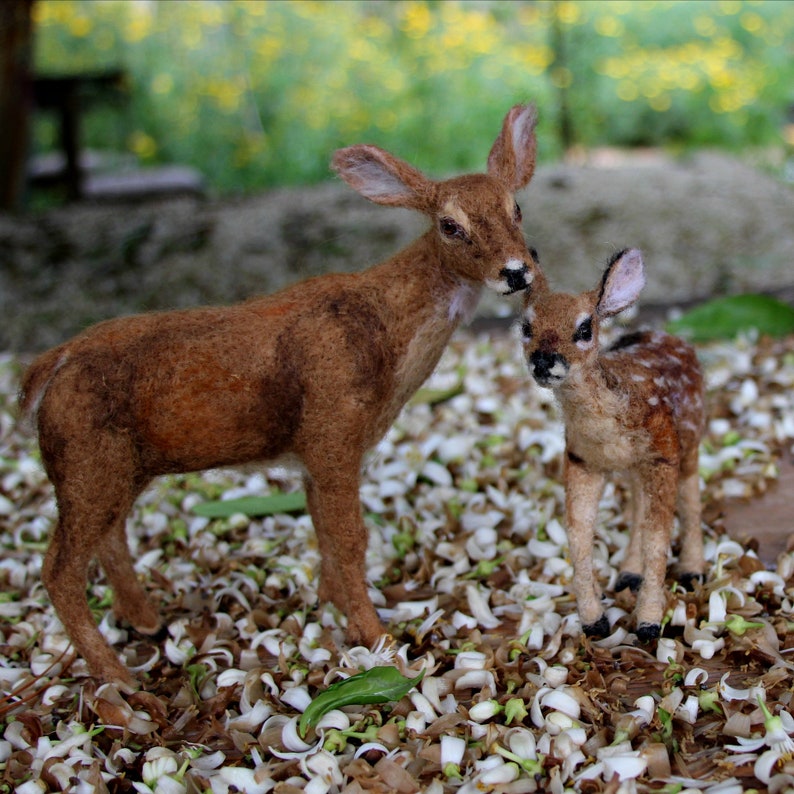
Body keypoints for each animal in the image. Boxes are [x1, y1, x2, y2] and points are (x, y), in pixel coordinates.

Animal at [20, 100, 540, 680]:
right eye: (450, 225)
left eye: (517, 207)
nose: (517, 271)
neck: (383, 338)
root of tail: (49, 366)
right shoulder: (332, 430)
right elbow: (350, 539)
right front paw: (378, 640)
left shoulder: (314, 451)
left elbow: (324, 536)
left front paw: (330, 608)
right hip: (84, 459)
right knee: (58, 568)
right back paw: (120, 684)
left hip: (113, 466)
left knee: (110, 537)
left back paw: (146, 621)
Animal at [524, 251, 704, 640]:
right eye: (526, 327)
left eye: (584, 329)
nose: (543, 361)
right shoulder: (581, 458)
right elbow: (578, 535)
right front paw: (594, 621)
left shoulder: (663, 453)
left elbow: (658, 537)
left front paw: (649, 623)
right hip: (637, 466)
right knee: (637, 503)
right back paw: (627, 574)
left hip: (690, 442)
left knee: (691, 498)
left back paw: (693, 570)